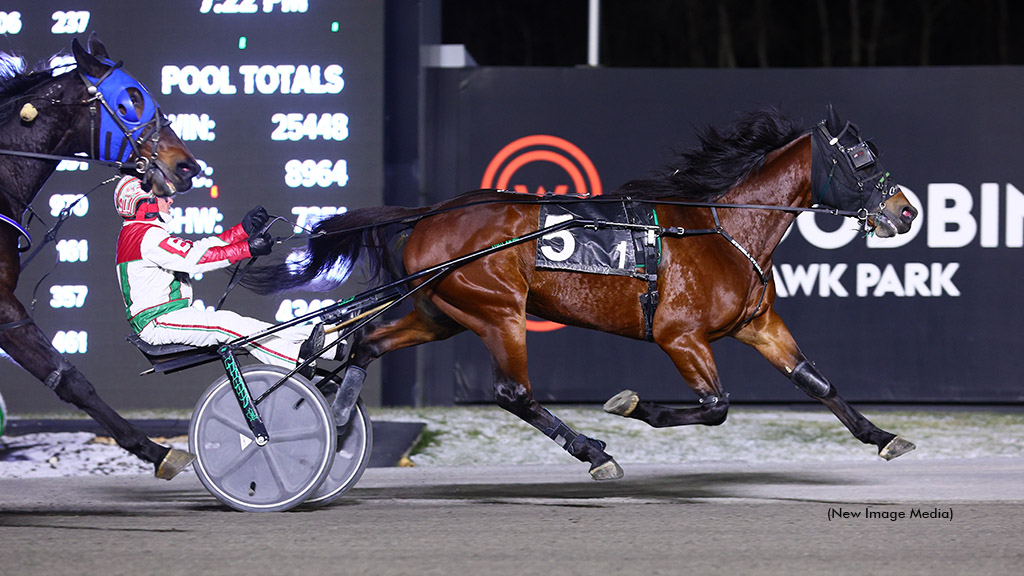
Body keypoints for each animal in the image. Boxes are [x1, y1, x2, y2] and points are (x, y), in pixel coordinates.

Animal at [245, 105, 920, 480]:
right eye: (862, 159)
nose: (906, 211)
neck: (722, 229)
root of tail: (432, 214)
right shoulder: (680, 335)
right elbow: (715, 405)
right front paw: (631, 406)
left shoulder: (756, 323)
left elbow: (815, 381)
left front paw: (884, 437)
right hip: (497, 310)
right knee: (513, 392)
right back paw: (593, 451)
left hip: (443, 310)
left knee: (363, 344)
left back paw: (332, 426)